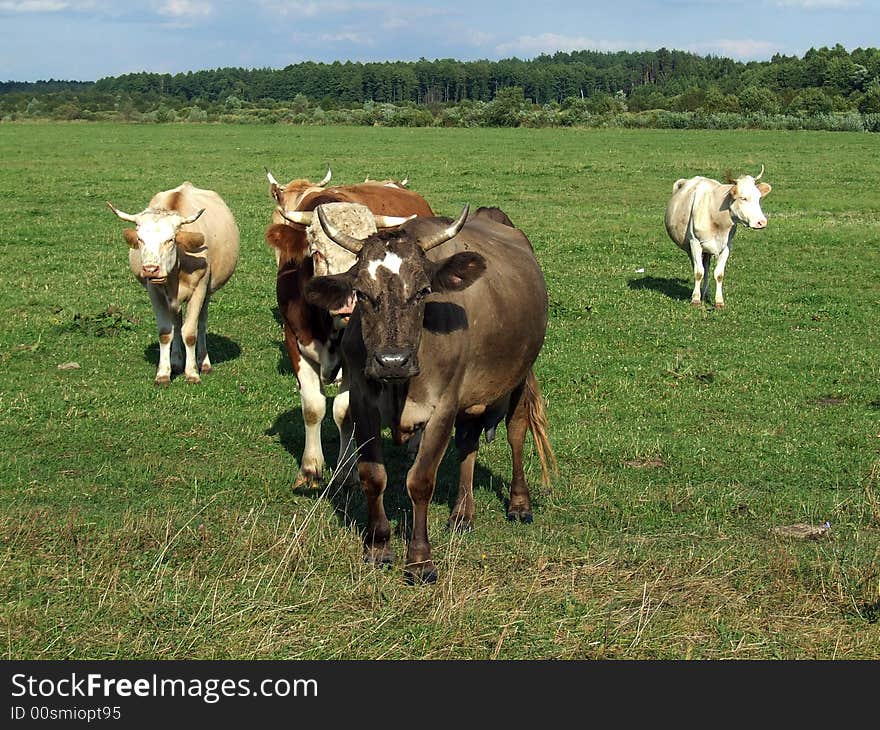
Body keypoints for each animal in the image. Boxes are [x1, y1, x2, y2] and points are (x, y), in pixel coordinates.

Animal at [106, 181, 241, 384]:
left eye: (170, 240)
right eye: (140, 239)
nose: (151, 269)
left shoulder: (200, 288)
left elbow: (191, 333)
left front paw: (192, 373)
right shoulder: (154, 291)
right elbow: (165, 332)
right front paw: (163, 373)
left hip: (208, 291)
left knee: (201, 323)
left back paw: (204, 363)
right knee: (177, 324)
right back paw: (176, 362)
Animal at [264, 166, 436, 490]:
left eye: (361, 257)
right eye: (316, 252)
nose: (346, 305)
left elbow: (343, 412)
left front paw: (346, 470)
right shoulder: (294, 340)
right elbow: (313, 407)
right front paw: (310, 469)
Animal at [308, 200, 556, 580]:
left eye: (424, 291)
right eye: (361, 293)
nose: (392, 360)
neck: (400, 386)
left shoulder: (443, 406)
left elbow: (421, 481)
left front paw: (420, 560)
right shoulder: (363, 402)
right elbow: (372, 475)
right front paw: (378, 547)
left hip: (519, 375)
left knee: (516, 432)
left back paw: (519, 503)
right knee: (468, 442)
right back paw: (462, 515)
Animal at [664, 164, 772, 306]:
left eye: (759, 197)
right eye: (743, 198)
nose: (761, 222)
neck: (715, 216)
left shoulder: (727, 246)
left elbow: (719, 274)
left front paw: (719, 301)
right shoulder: (695, 242)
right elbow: (698, 272)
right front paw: (695, 299)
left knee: (706, 268)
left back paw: (706, 293)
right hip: (690, 247)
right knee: (697, 267)